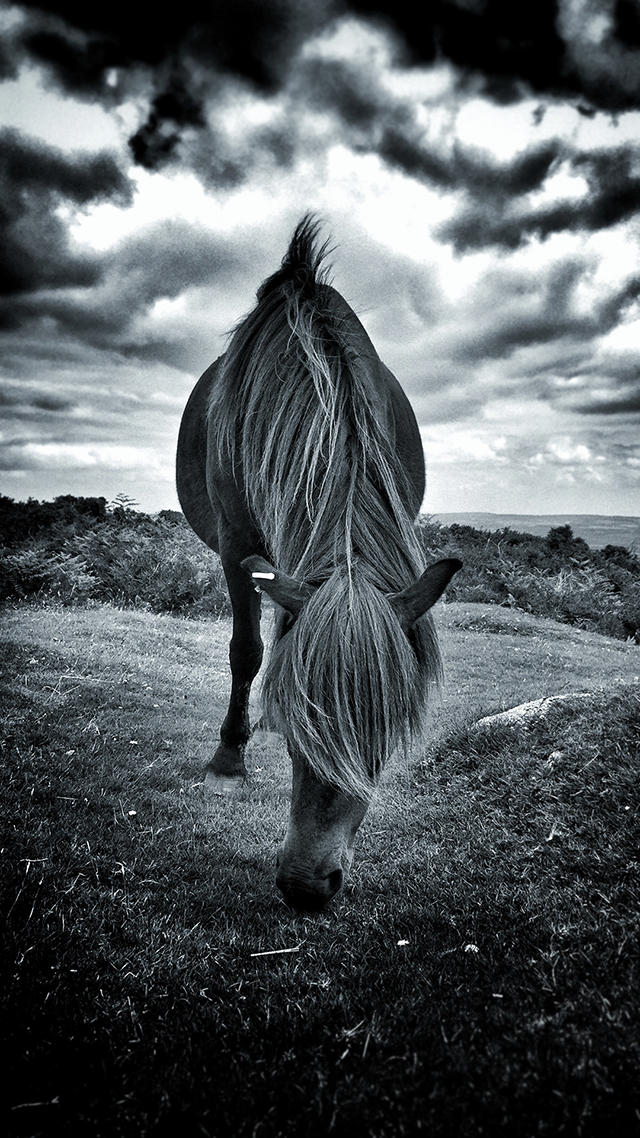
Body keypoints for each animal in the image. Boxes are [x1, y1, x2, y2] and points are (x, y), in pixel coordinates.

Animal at [176, 216, 461, 910]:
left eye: (388, 729)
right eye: (304, 719)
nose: (307, 885)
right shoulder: (239, 545)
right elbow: (249, 652)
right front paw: (229, 761)